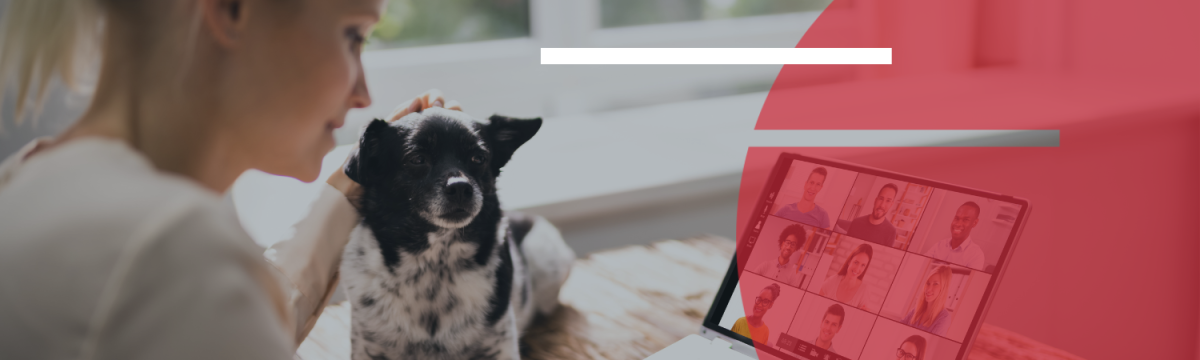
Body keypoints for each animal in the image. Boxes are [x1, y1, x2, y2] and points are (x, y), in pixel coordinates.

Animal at [340, 108, 573, 357]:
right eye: (417, 159)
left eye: (478, 158)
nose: (460, 187)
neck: (435, 267)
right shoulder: (368, 347)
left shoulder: (499, 347)